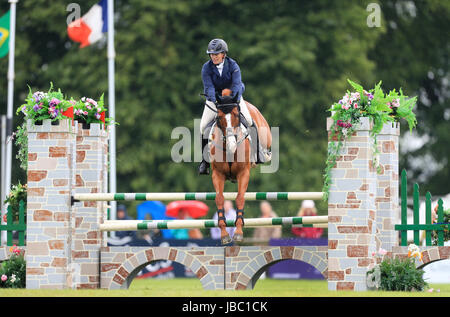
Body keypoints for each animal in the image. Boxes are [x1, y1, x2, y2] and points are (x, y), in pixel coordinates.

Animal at [207, 92, 270, 243]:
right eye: (219, 117)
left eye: (236, 115)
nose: (232, 145)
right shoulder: (218, 174)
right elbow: (219, 198)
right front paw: (224, 234)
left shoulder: (243, 173)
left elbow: (240, 198)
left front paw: (238, 233)